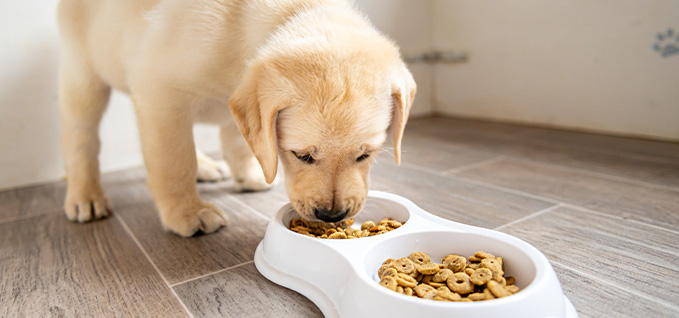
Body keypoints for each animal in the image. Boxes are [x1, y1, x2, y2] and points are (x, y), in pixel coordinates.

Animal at [58, 0, 418, 236]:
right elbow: (174, 162)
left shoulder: (241, 104)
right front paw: (187, 212)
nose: (332, 215)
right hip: (83, 74)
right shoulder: (160, 93)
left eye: (365, 155)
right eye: (301, 155)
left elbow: (242, 140)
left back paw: (207, 167)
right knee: (81, 137)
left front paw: (247, 173)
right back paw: (86, 196)